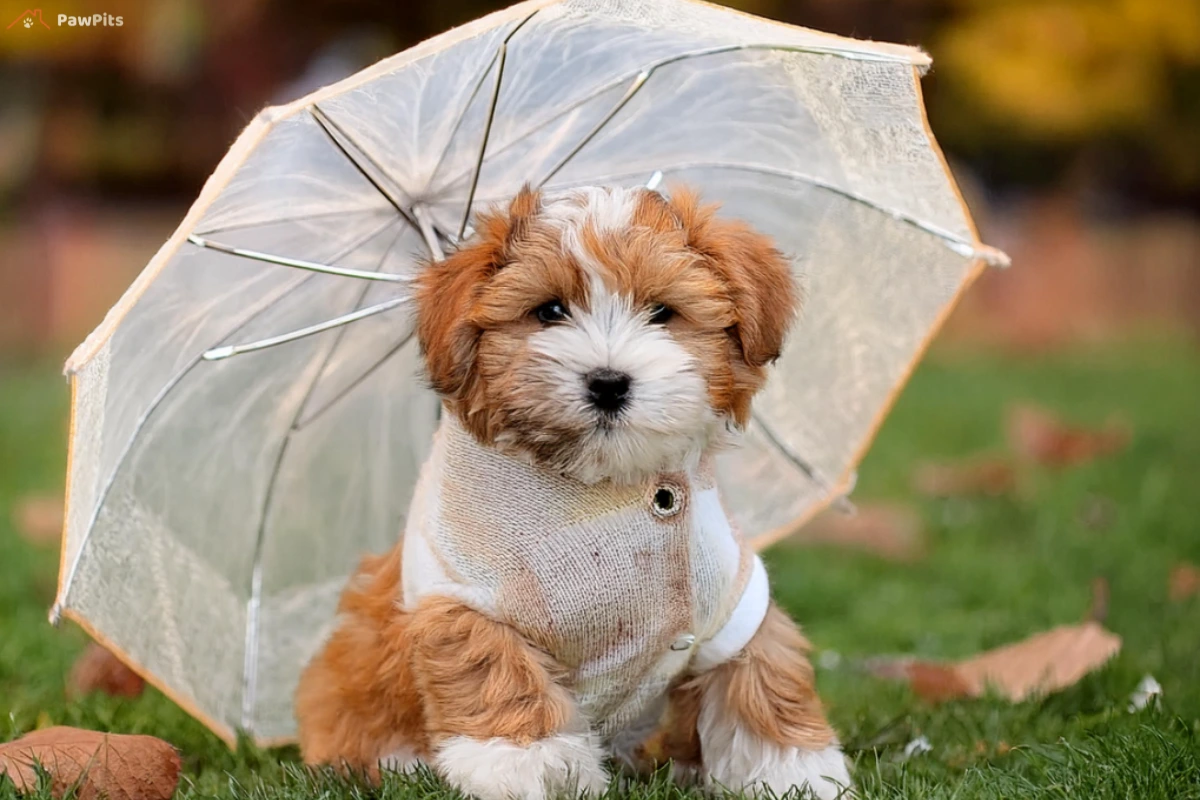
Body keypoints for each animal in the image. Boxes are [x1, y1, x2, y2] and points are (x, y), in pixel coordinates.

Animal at [295, 185, 849, 800]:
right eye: (550, 312)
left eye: (662, 312)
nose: (608, 383)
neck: (603, 489)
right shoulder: (463, 594)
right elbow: (492, 667)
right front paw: (530, 765)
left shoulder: (729, 602)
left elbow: (761, 671)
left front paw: (793, 769)